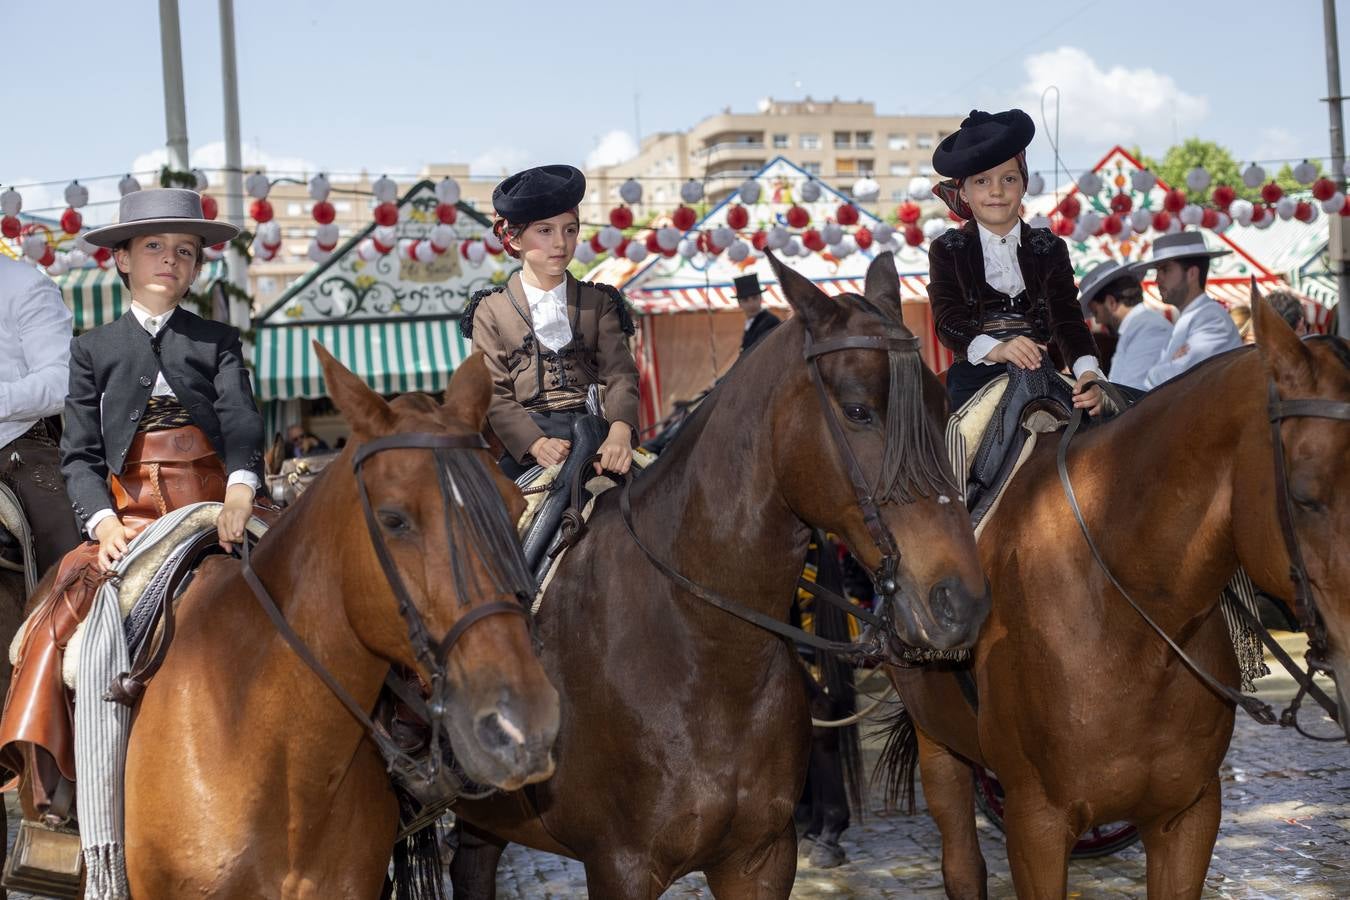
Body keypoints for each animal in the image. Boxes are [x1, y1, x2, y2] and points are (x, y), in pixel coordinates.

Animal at [448, 252, 988, 900]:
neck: (701, 643)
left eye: (941, 409)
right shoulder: (620, 868)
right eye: (858, 410)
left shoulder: (759, 858)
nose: (961, 601)